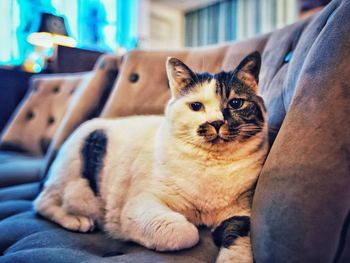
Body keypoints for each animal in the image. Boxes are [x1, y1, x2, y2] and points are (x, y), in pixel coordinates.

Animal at [34, 52, 268, 263]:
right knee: (42, 202)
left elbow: (240, 246)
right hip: (73, 183)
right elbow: (187, 232)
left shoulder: (240, 214)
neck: (212, 167)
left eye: (236, 103)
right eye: (196, 106)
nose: (217, 123)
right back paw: (78, 221)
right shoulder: (140, 204)